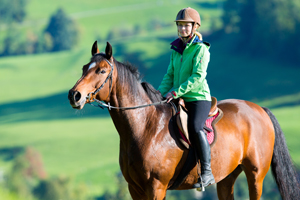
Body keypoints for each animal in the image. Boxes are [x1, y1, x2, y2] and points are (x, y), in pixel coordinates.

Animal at [68, 41, 300, 199]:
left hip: (255, 175)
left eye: (102, 70)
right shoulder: (134, 188)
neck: (145, 127)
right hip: (227, 178)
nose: (74, 95)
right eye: (84, 68)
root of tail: (260, 109)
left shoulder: (156, 187)